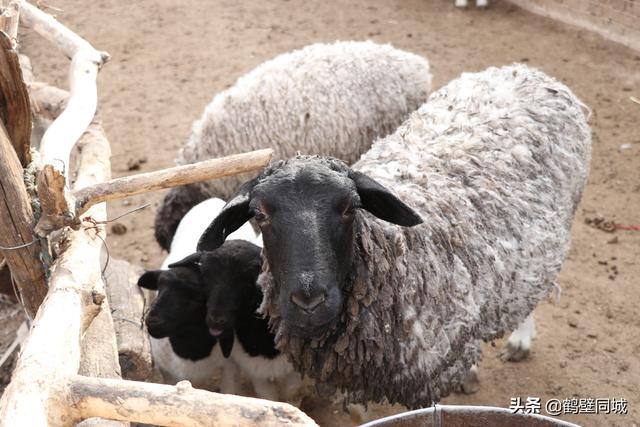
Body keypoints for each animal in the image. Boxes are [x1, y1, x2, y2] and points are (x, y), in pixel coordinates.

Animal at [198, 62, 592, 408]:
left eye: (350, 208)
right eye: (259, 214)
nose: (309, 301)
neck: (393, 250)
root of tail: (527, 72)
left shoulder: (430, 376)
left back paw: (520, 340)